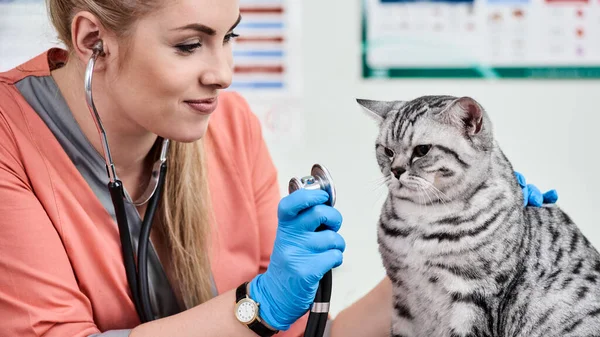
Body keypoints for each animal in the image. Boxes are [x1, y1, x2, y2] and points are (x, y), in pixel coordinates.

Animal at [356, 94, 600, 336]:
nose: (395, 171)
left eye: (422, 150)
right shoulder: (403, 298)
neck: (420, 220)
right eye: (387, 151)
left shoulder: (477, 297)